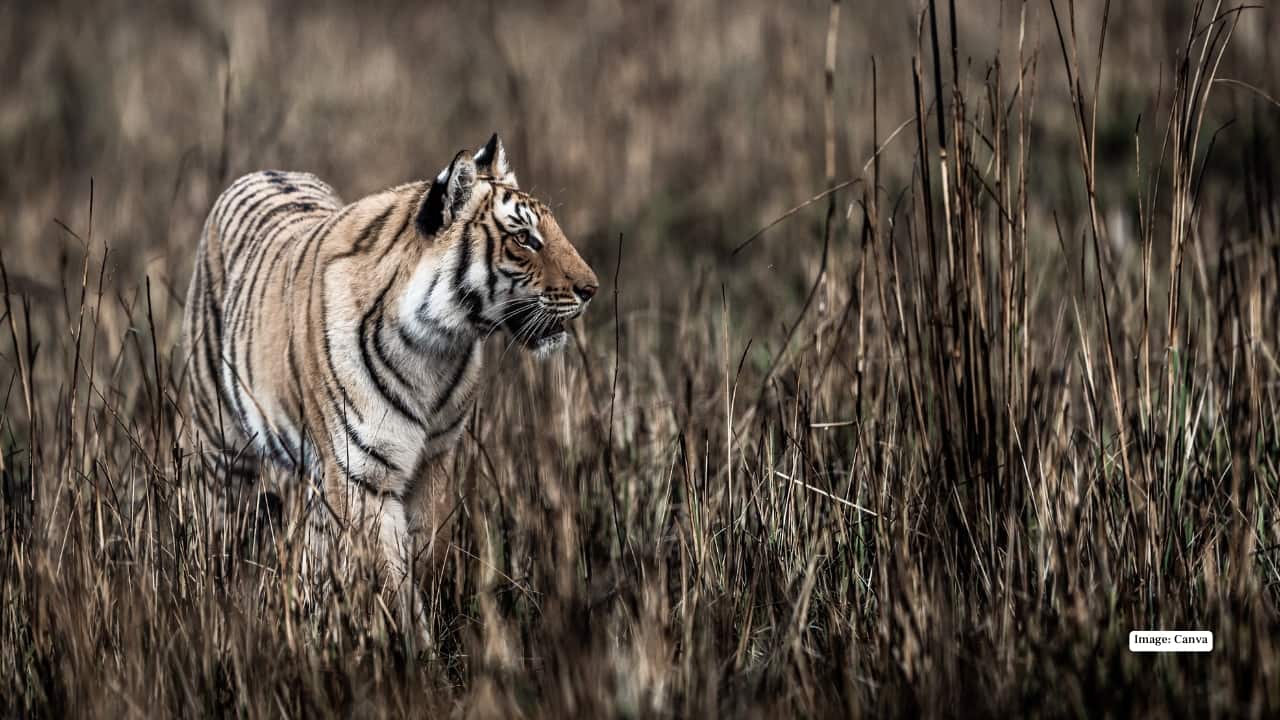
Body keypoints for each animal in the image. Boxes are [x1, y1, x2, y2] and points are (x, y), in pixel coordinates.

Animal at [181, 133, 598, 624]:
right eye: (523, 238)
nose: (591, 289)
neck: (436, 348)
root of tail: (266, 171)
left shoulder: (433, 462)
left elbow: (427, 552)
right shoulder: (362, 477)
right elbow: (391, 579)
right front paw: (409, 639)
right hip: (220, 444)